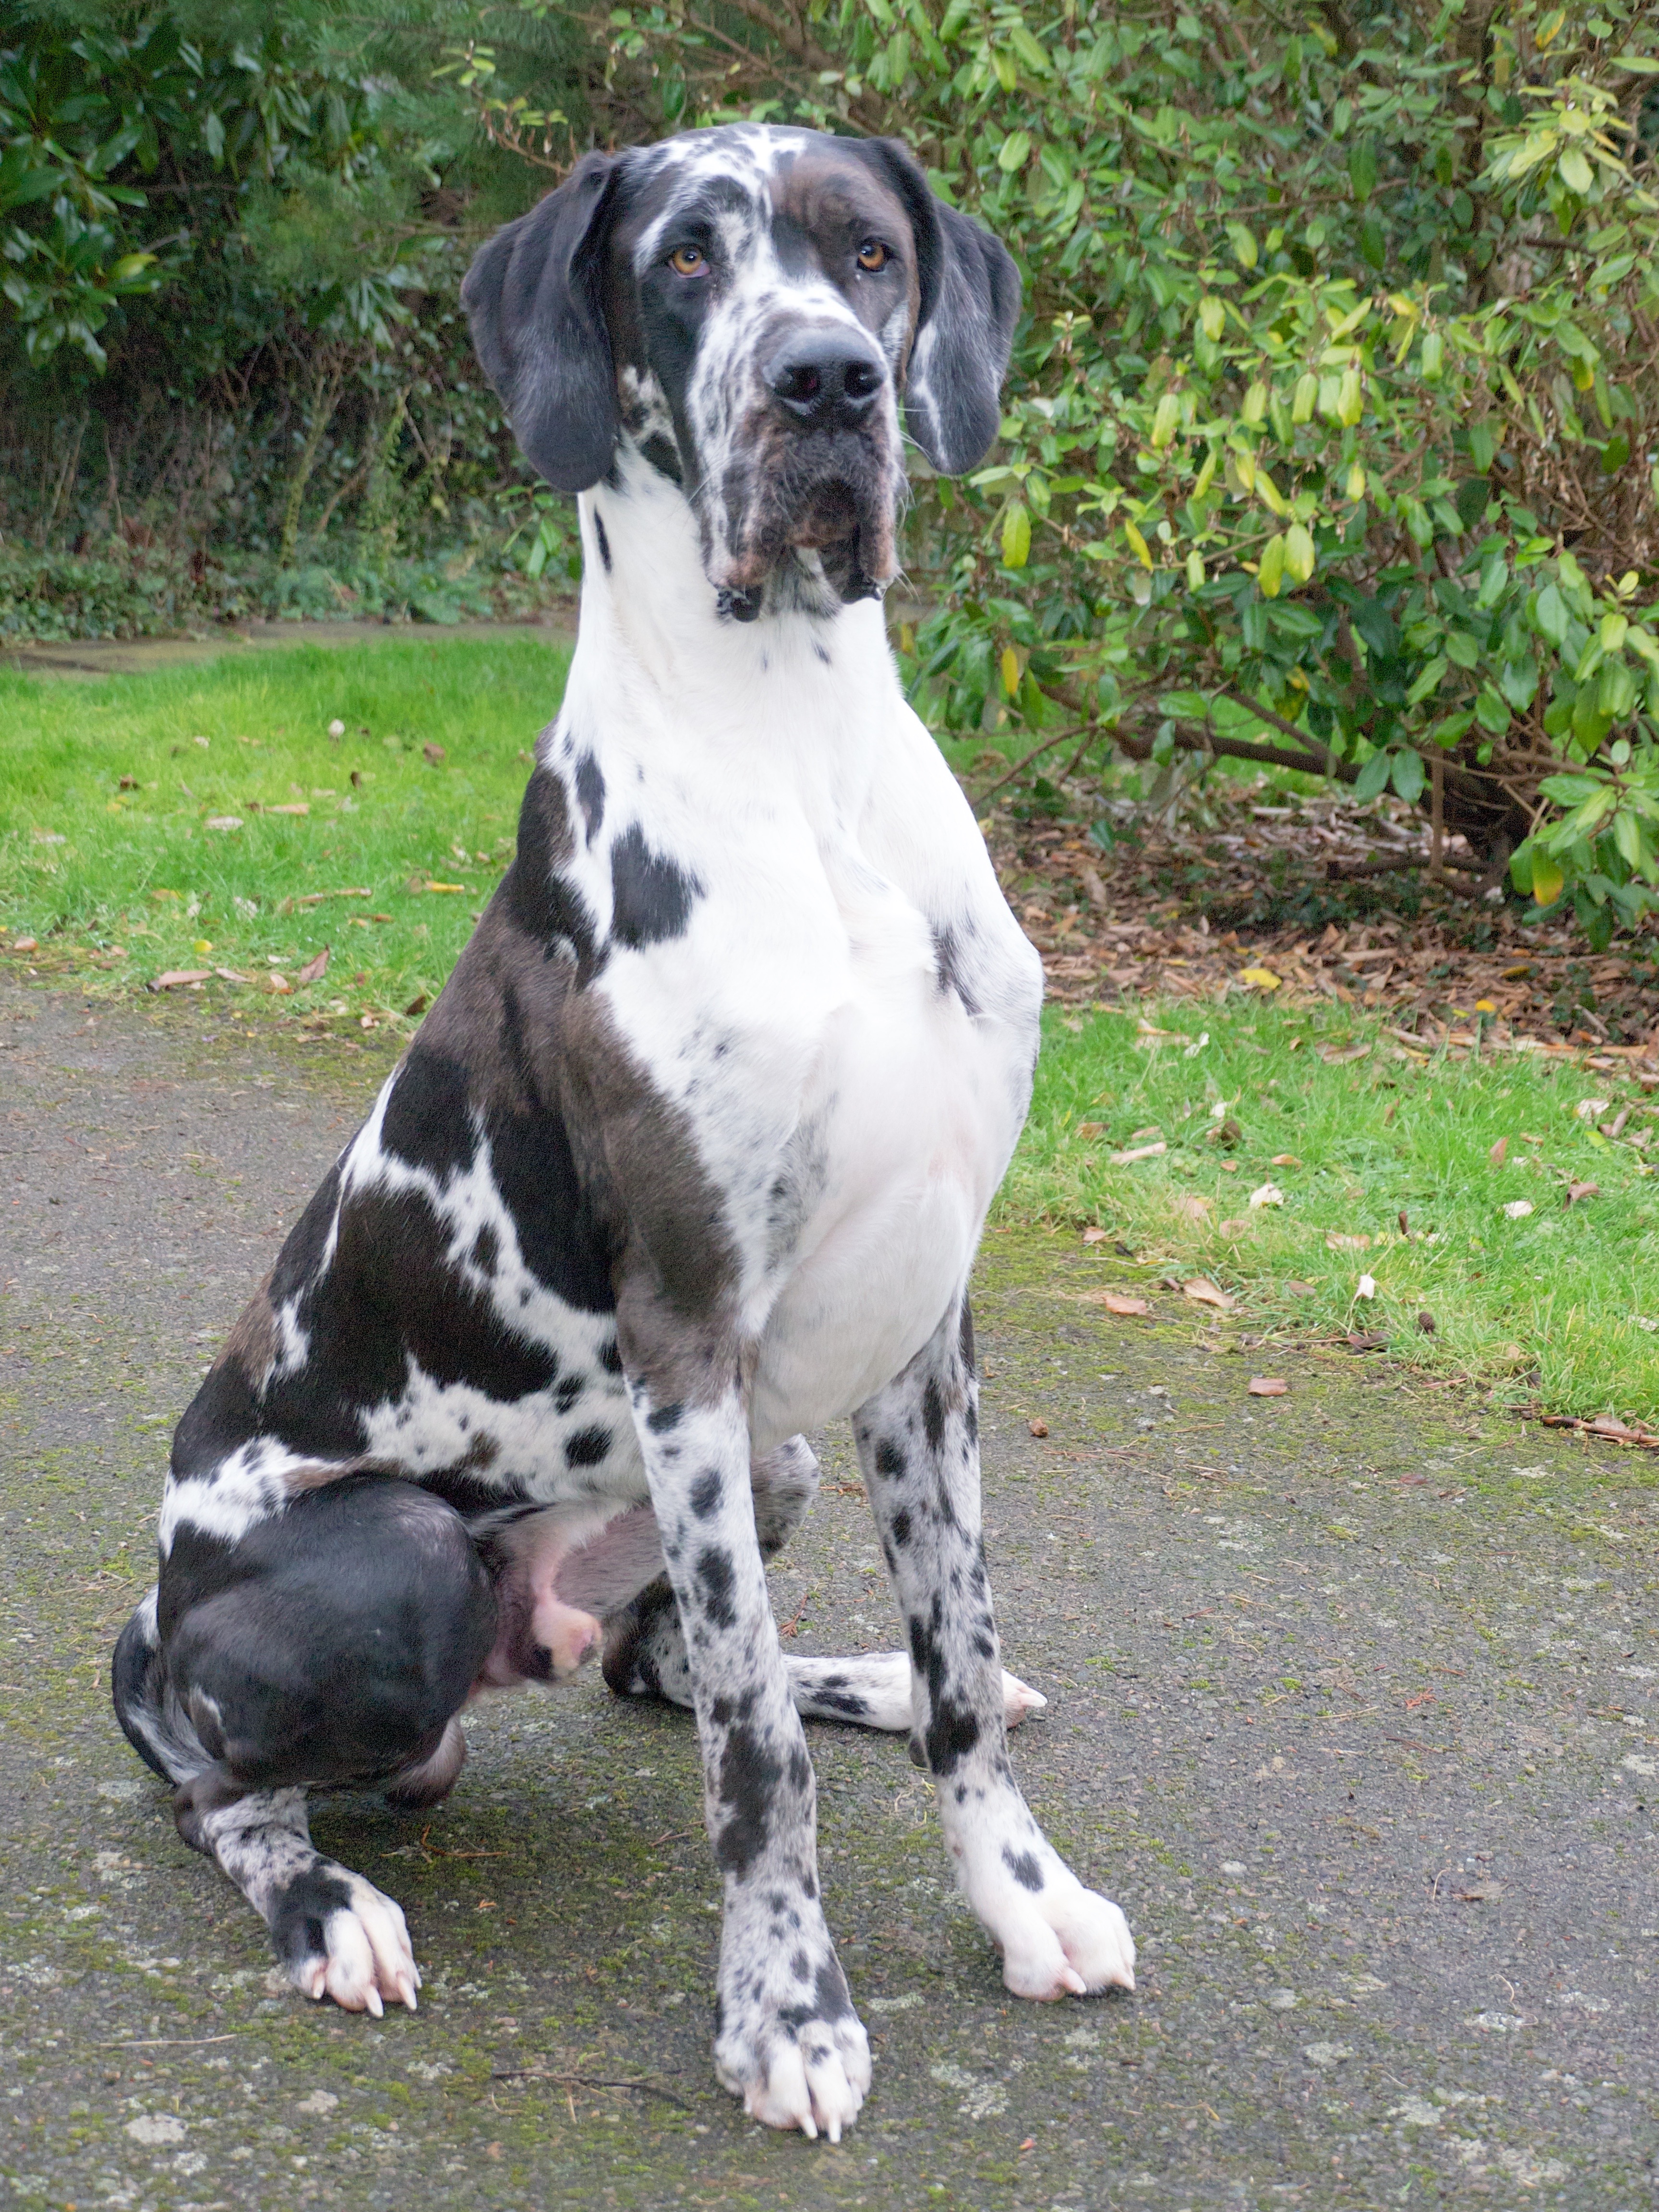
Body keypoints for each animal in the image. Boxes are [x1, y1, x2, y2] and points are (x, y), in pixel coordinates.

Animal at [110, 125, 1141, 2141]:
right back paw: (328, 1905)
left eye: (868, 254)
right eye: (681, 259)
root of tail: (153, 1611)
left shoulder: (923, 1328)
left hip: (781, 1448)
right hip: (408, 1554)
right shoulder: (687, 1341)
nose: (823, 382)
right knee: (223, 1782)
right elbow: (750, 1749)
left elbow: (954, 1649)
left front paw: (1016, 1890)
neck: (799, 752)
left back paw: (849, 1675)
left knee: (656, 1660)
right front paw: (788, 2007)